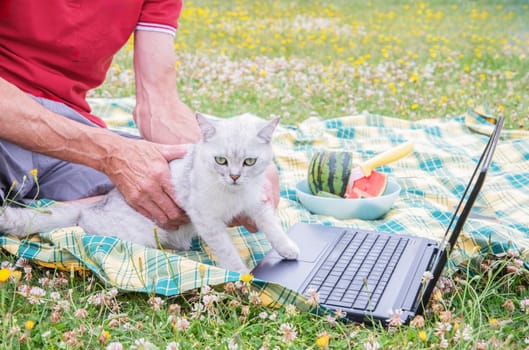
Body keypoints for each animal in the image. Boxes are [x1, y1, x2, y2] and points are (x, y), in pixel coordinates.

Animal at [0, 115, 300, 274]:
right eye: (221, 161)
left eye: (249, 162)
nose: (235, 176)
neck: (233, 194)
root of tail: (100, 201)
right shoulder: (207, 219)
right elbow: (225, 248)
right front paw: (241, 273)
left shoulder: (257, 204)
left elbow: (273, 227)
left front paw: (288, 248)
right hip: (136, 235)